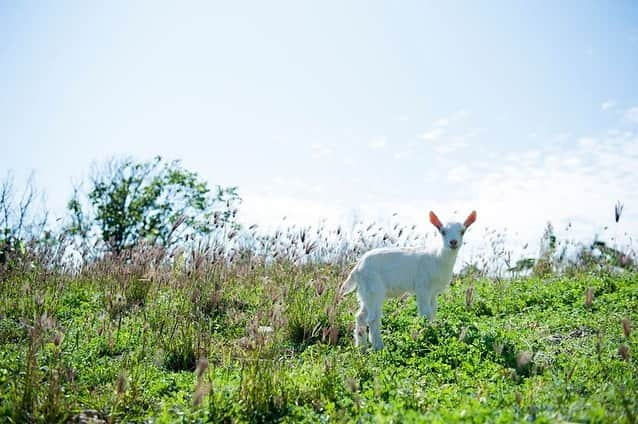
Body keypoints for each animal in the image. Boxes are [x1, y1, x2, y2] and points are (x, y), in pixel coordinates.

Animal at [342, 210, 478, 352]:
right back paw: (379, 347)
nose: (453, 242)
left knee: (360, 316)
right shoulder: (422, 287)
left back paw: (361, 347)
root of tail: (357, 268)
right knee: (373, 319)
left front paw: (432, 329)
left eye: (462, 231)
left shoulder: (433, 292)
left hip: (365, 291)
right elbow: (425, 313)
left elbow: (433, 312)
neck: (438, 259)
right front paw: (426, 334)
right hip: (374, 288)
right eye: (443, 231)